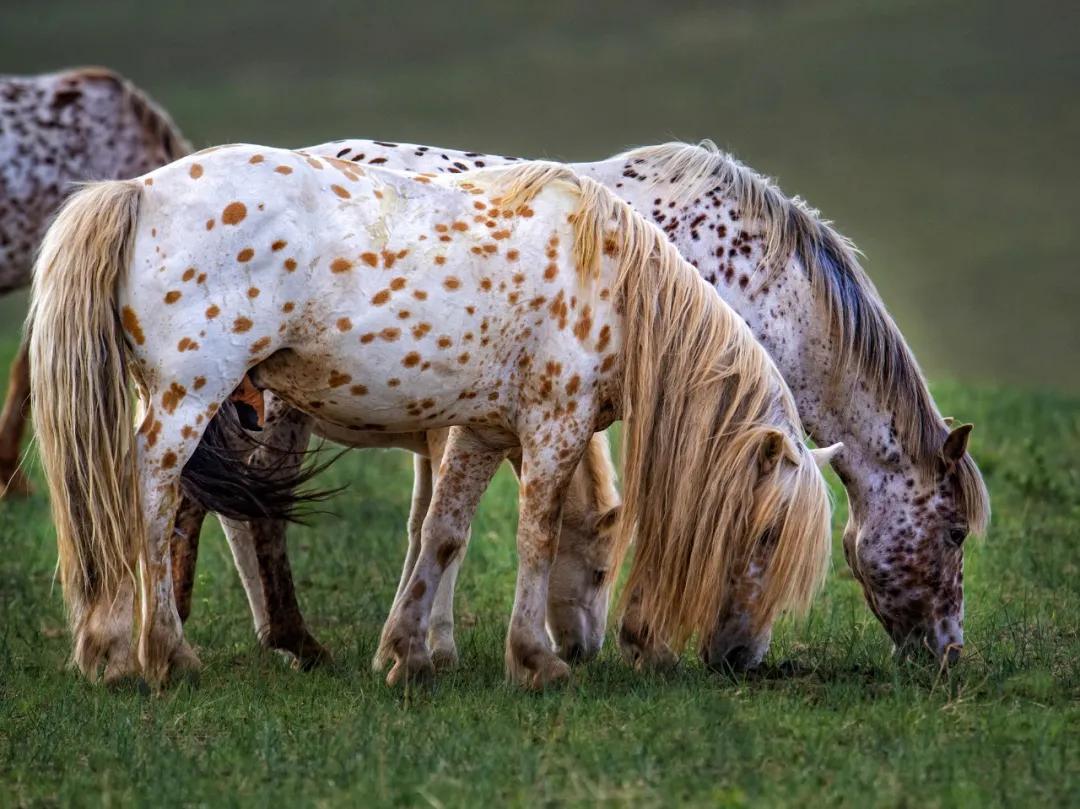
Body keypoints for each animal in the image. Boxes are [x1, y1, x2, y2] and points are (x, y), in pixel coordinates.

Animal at [25, 146, 833, 686]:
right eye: (767, 532)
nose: (740, 657)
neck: (613, 283)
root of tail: (137, 191)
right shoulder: (556, 426)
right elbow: (536, 536)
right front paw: (534, 660)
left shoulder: (481, 431)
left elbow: (442, 532)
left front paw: (409, 652)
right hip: (190, 398)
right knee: (152, 500)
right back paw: (158, 652)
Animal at [174, 139, 989, 669]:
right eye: (953, 532)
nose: (949, 653)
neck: (749, 279)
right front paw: (635, 639)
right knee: (241, 514)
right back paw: (267, 639)